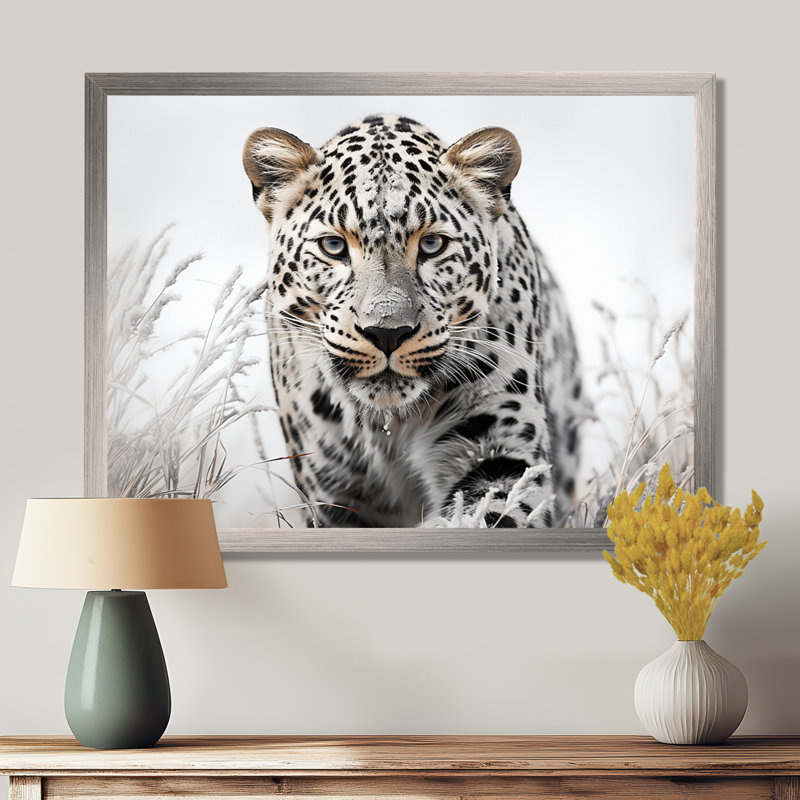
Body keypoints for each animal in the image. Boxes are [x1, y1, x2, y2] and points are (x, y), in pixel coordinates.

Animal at [242, 114, 583, 529]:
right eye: (333, 247)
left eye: (432, 245)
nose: (387, 333)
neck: (388, 427)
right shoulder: (332, 489)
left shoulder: (502, 451)